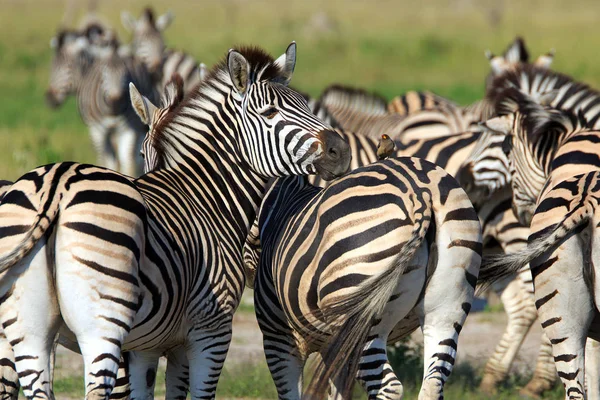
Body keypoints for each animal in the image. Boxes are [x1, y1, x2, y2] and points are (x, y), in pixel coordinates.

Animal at [0, 42, 352, 398]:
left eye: (307, 106)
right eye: (269, 114)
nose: (341, 151)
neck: (206, 198)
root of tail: (57, 183)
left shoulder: (151, 346)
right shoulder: (210, 331)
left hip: (28, 331)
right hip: (102, 324)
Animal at [245, 156, 482, 400]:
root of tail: (419, 190)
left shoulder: (278, 336)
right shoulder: (331, 348)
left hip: (361, 317)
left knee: (389, 387)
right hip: (448, 305)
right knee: (433, 383)